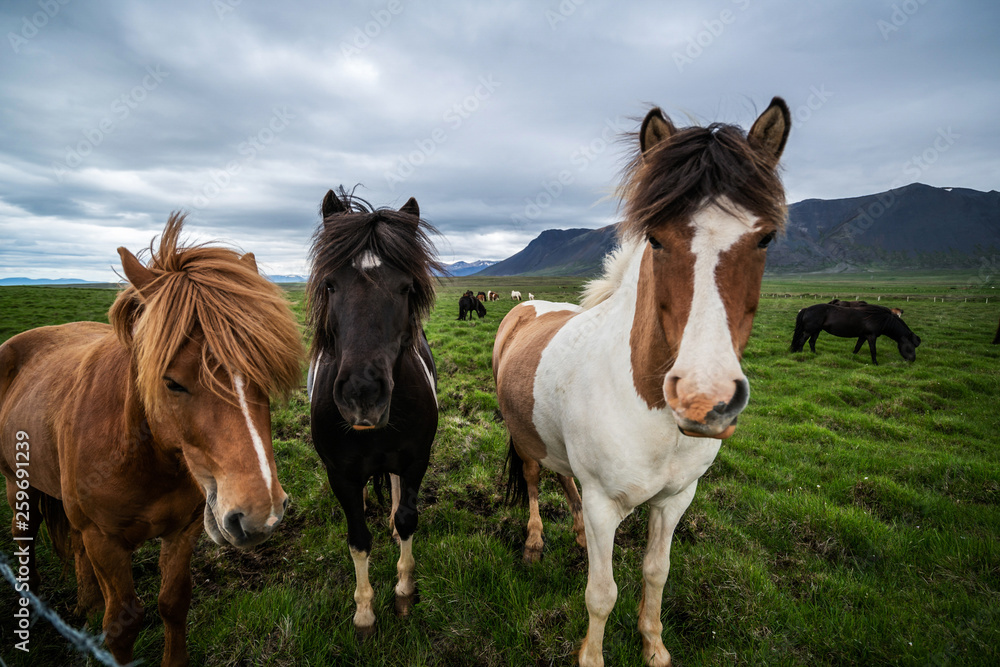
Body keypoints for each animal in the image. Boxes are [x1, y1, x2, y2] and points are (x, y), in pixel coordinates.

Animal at [0, 215, 300, 667]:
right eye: (171, 382)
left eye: (263, 373)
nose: (259, 514)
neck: (141, 456)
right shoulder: (104, 541)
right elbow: (122, 624)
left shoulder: (184, 530)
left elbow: (173, 602)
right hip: (16, 483)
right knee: (24, 539)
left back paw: (86, 604)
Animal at [306, 189, 440, 636]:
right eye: (330, 284)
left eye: (405, 287)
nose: (362, 393)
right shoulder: (341, 474)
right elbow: (358, 538)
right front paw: (364, 612)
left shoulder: (416, 460)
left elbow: (407, 519)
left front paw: (404, 591)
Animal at [492, 99, 788, 667]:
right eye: (655, 237)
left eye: (766, 238)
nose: (704, 399)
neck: (652, 416)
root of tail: (524, 308)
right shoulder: (605, 504)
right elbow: (601, 593)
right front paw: (592, 656)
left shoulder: (676, 499)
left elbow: (656, 573)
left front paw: (654, 646)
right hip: (525, 438)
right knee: (538, 482)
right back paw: (536, 543)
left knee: (566, 483)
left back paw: (578, 537)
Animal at [788, 304, 920, 366]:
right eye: (911, 346)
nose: (912, 360)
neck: (880, 319)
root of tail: (806, 309)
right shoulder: (871, 336)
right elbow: (873, 350)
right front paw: (876, 363)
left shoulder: (863, 336)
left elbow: (857, 347)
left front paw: (852, 358)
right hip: (810, 331)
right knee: (802, 341)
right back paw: (801, 354)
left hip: (817, 331)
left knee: (811, 342)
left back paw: (814, 355)